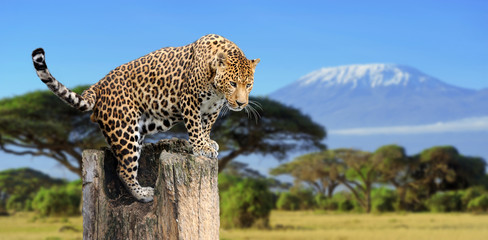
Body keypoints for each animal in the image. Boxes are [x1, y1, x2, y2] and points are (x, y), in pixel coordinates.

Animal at [31, 34, 260, 202]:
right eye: (232, 83)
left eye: (248, 84)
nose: (241, 103)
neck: (217, 90)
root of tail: (99, 84)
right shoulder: (189, 101)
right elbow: (195, 127)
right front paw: (200, 147)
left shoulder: (212, 109)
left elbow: (206, 127)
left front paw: (208, 143)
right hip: (125, 130)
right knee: (123, 169)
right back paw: (144, 195)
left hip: (137, 131)